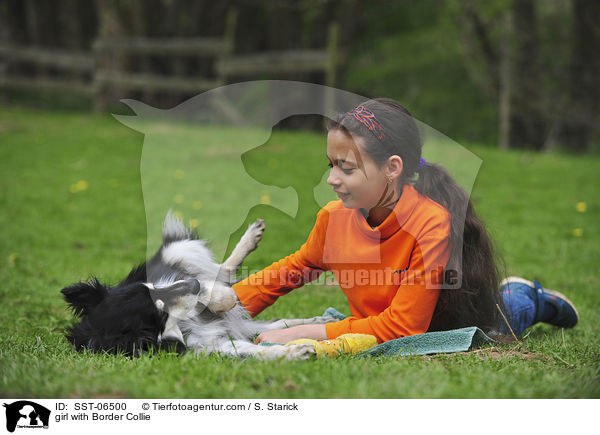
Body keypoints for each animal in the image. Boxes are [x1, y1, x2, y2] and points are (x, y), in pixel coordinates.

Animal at [62, 214, 336, 362]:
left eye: (153, 288)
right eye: (159, 313)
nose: (193, 284)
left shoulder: (176, 285)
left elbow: (212, 292)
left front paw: (221, 296)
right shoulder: (209, 346)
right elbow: (251, 351)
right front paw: (294, 352)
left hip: (177, 252)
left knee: (222, 271)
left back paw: (250, 238)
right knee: (275, 325)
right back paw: (318, 322)